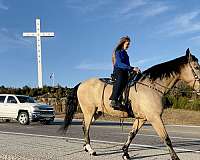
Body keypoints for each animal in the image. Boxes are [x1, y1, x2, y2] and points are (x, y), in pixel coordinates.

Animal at [61, 48, 199, 159]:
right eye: (197, 67)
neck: (152, 87)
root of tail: (81, 84)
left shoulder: (141, 118)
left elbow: (132, 134)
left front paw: (125, 153)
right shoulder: (155, 118)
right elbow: (166, 138)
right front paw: (175, 157)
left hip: (96, 112)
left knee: (84, 125)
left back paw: (86, 147)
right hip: (89, 111)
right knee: (86, 127)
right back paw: (90, 149)